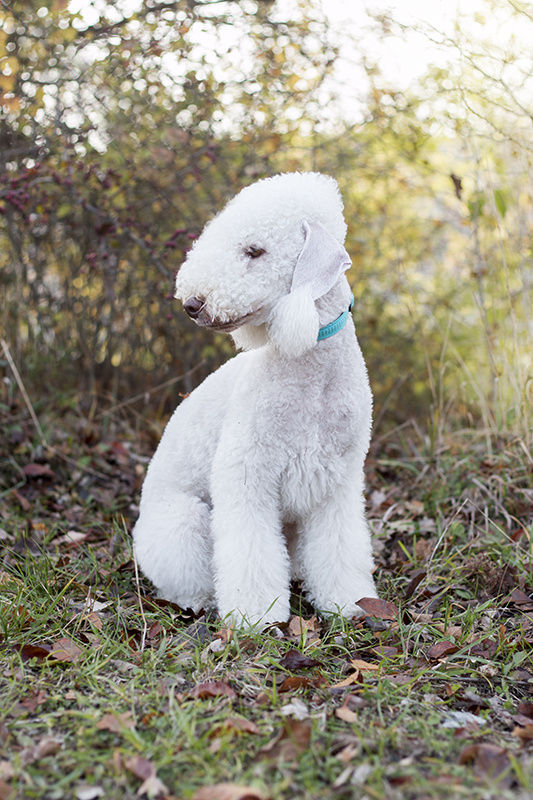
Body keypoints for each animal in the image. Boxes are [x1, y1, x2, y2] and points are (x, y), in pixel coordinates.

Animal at [133, 172, 376, 628]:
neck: (310, 369)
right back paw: (196, 601)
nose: (192, 304)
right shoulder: (247, 476)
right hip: (184, 522)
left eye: (254, 251)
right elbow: (250, 552)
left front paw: (348, 602)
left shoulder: (339, 482)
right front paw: (256, 618)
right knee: (181, 579)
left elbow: (339, 547)